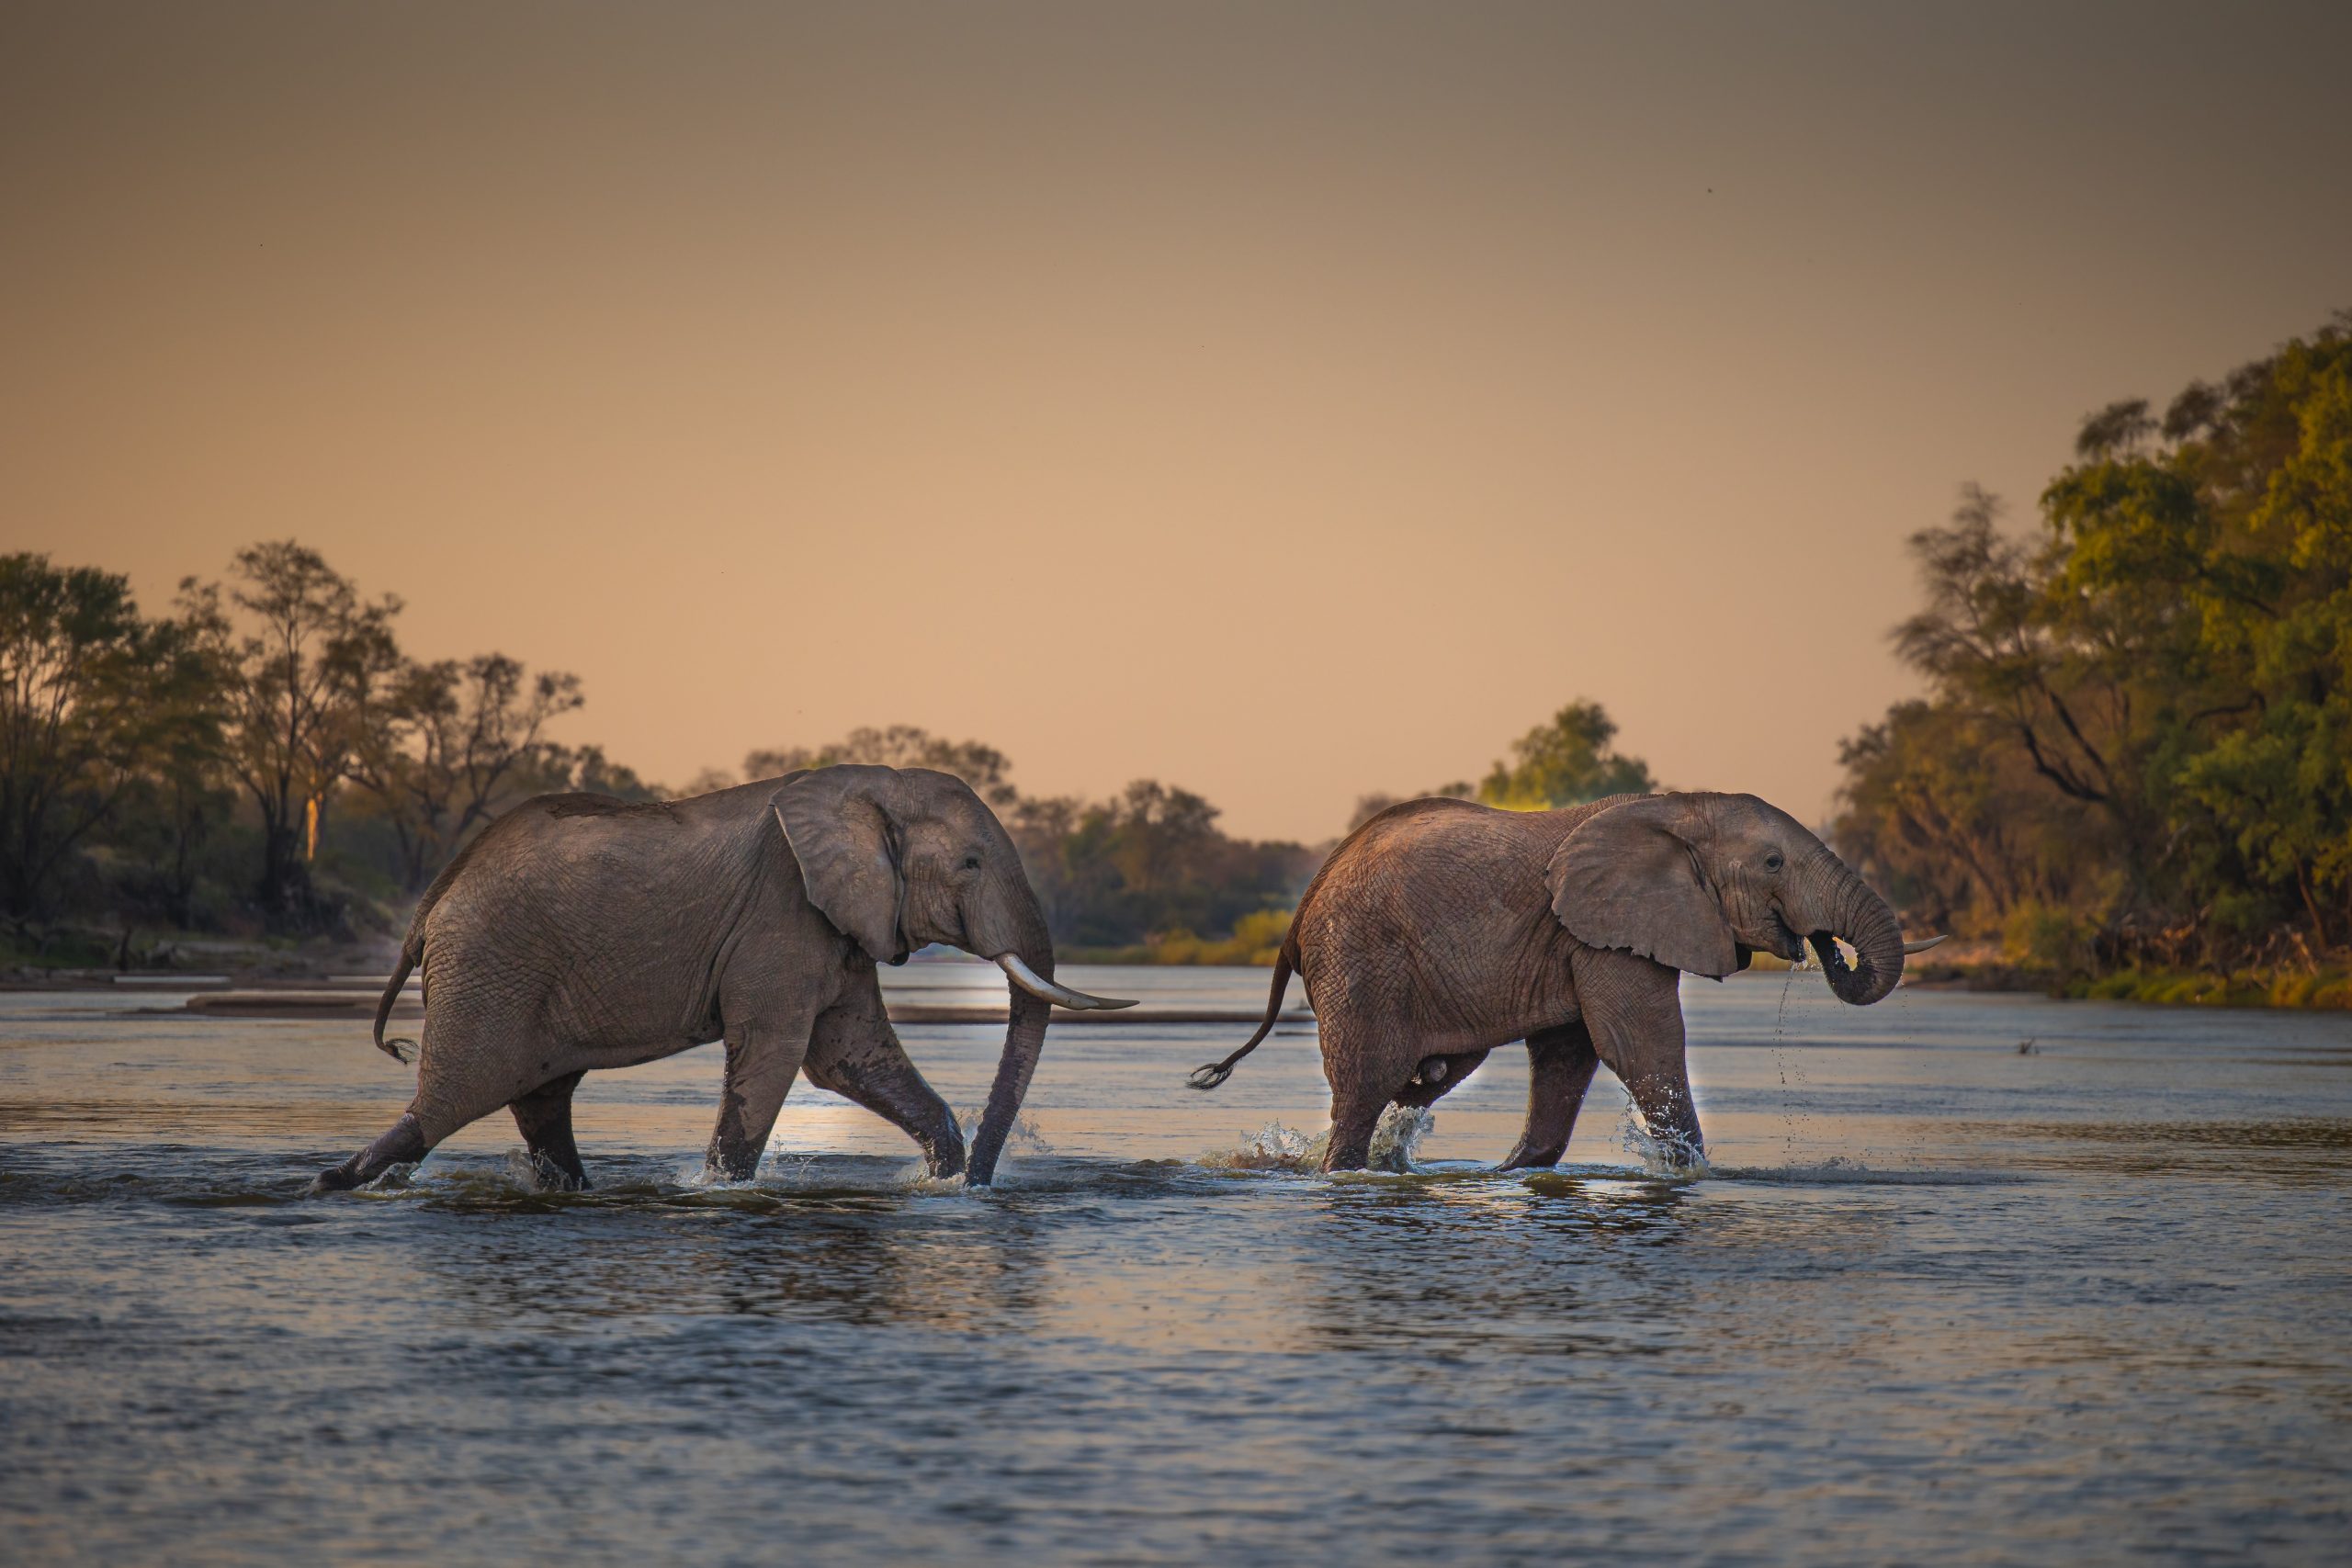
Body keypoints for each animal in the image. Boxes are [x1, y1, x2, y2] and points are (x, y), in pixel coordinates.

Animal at [310, 765, 1131, 1195]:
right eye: (970, 863)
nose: (978, 1189)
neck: (869, 786)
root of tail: (430, 905)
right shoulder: (782, 917)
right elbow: (777, 1057)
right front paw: (721, 1191)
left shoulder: (832, 927)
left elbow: (848, 1059)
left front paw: (941, 1178)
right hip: (488, 967)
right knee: (445, 1105)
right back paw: (335, 1183)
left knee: (540, 1103)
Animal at [1189, 791, 1937, 1173]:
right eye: (1775, 863)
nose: (1820, 945)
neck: (1680, 809)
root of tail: (1300, 911)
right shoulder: (1603, 927)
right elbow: (1640, 1043)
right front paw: (1693, 1175)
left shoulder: (1583, 934)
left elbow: (1569, 1054)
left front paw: (1516, 1172)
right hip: (1360, 961)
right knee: (1365, 1086)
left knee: (1424, 1079)